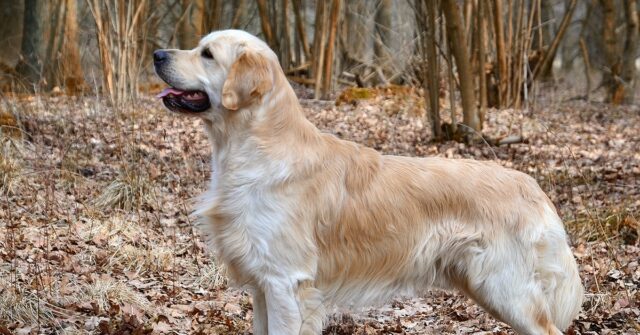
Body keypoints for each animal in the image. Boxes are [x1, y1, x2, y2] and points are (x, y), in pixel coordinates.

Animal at [154, 30, 580, 334]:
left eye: (207, 54)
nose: (157, 55)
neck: (257, 147)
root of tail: (533, 187)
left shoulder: (285, 282)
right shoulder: (263, 285)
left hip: (506, 288)